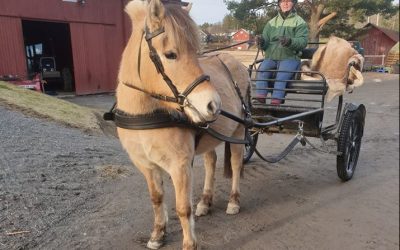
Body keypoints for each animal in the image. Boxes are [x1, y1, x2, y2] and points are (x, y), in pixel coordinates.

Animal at [115, 1, 248, 248]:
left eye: (195, 53)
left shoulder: (180, 165)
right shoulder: (146, 165)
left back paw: (234, 201)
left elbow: (183, 208)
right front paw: (158, 234)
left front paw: (189, 243)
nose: (213, 104)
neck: (147, 114)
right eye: (170, 54)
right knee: (211, 163)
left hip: (239, 130)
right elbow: (156, 199)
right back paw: (205, 202)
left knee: (235, 164)